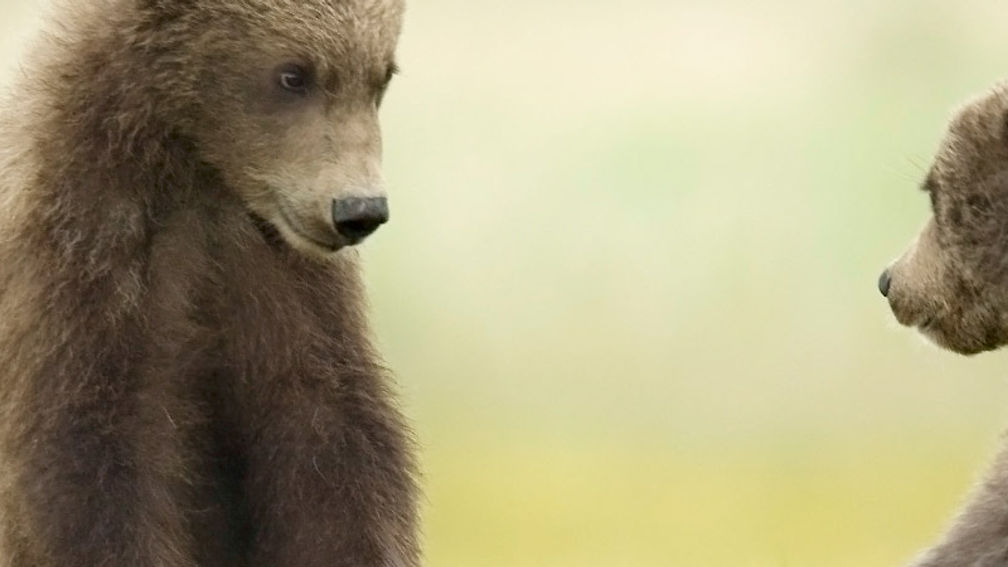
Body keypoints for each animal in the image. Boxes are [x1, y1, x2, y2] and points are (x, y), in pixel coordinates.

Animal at [0, 0, 419, 566]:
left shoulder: (276, 278)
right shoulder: (83, 262)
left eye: (381, 76)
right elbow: (88, 464)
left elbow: (331, 445)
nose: (359, 210)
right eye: (293, 74)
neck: (190, 172)